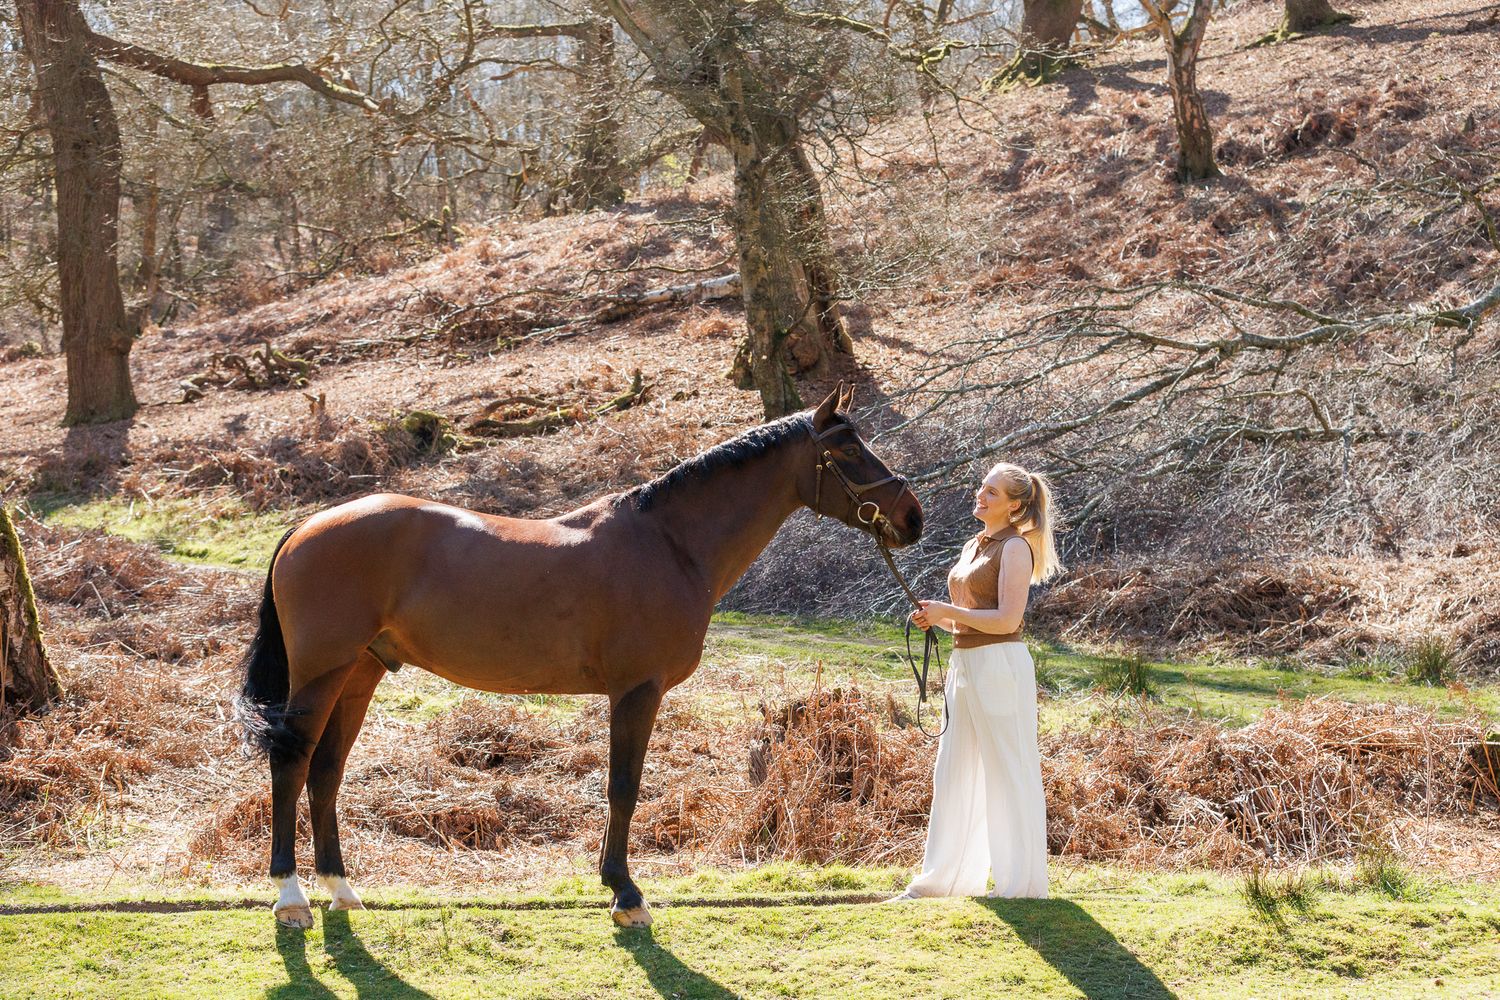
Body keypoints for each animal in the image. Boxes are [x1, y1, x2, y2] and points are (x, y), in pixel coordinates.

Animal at [238, 384, 923, 929]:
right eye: (849, 450)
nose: (912, 517)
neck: (670, 544)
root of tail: (305, 528)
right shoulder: (637, 690)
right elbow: (624, 787)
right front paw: (625, 893)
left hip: (360, 672)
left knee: (326, 770)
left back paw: (340, 889)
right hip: (321, 673)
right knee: (291, 764)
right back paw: (291, 897)